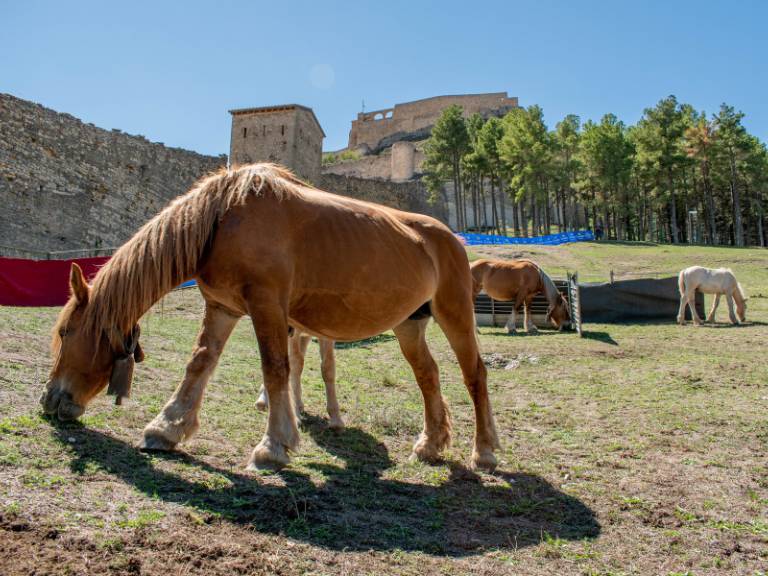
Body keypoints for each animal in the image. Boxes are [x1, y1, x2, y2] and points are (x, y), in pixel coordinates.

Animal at [40, 164, 498, 470]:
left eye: (66, 333)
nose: (50, 400)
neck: (224, 215)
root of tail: (449, 237)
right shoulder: (222, 308)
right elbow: (200, 363)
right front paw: (167, 428)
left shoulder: (267, 306)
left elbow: (275, 368)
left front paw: (274, 445)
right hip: (409, 326)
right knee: (428, 376)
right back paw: (431, 443)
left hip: (455, 314)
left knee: (474, 375)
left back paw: (485, 451)